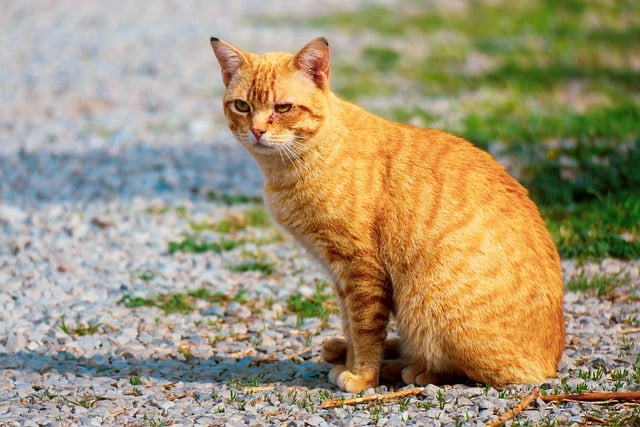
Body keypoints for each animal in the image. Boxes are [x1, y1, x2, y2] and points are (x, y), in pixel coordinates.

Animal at [211, 37, 564, 394]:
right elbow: (351, 325)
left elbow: (365, 330)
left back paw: (410, 369)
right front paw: (352, 361)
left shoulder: (361, 268)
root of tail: (550, 364)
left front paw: (363, 375)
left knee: (467, 369)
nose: (257, 131)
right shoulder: (341, 276)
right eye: (242, 106)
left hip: (427, 303)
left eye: (283, 108)